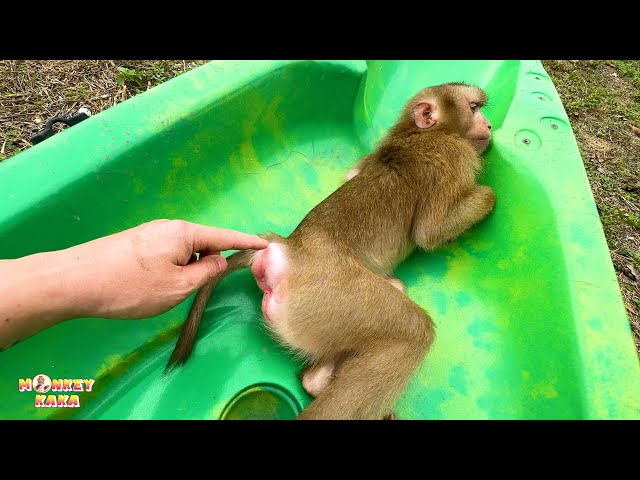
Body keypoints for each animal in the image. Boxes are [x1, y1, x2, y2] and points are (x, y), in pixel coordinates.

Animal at [165, 82, 496, 420]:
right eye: (473, 108)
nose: (488, 126)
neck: (414, 132)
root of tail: (288, 249)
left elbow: (353, 175)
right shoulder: (453, 156)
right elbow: (429, 232)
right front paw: (489, 196)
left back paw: (316, 380)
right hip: (330, 291)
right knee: (411, 331)